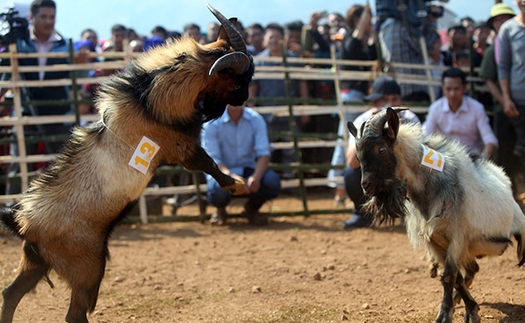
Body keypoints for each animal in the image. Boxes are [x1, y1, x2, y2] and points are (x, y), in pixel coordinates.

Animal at [0, 3, 253, 322]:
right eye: (238, 79)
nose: (245, 98)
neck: (148, 101)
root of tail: (23, 224)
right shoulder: (181, 148)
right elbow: (208, 164)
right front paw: (237, 184)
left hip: (36, 261)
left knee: (12, 293)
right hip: (86, 266)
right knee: (74, 313)